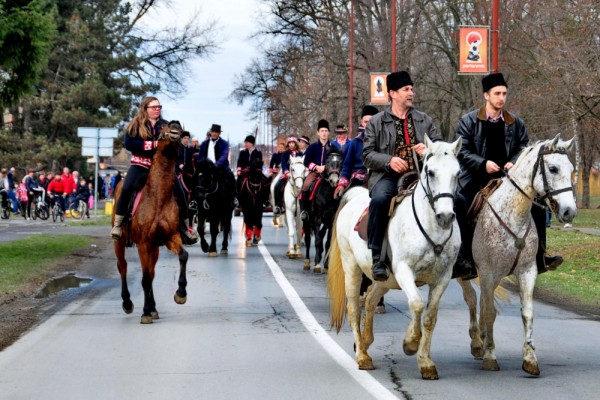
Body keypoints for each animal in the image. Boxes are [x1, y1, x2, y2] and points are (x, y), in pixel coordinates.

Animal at [112, 120, 188, 324]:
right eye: (163, 128)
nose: (175, 125)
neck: (158, 195)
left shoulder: (170, 237)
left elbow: (183, 256)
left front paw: (181, 293)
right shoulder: (144, 243)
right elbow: (144, 278)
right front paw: (145, 312)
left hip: (154, 248)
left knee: (152, 272)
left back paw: (153, 308)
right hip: (120, 243)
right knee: (122, 267)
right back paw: (127, 303)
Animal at [328, 137, 464, 378]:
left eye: (457, 173)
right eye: (430, 172)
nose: (446, 217)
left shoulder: (442, 278)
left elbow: (430, 317)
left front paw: (426, 362)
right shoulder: (404, 271)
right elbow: (417, 304)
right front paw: (410, 343)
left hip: (385, 280)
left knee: (371, 300)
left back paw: (366, 342)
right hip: (352, 269)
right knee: (354, 309)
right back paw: (362, 356)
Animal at [458, 136, 580, 376]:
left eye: (572, 169)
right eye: (553, 168)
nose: (569, 212)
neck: (513, 215)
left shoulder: (526, 271)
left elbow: (527, 313)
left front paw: (530, 359)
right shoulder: (488, 272)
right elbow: (489, 312)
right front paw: (490, 356)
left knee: (482, 301)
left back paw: (482, 340)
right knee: (472, 299)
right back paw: (477, 343)